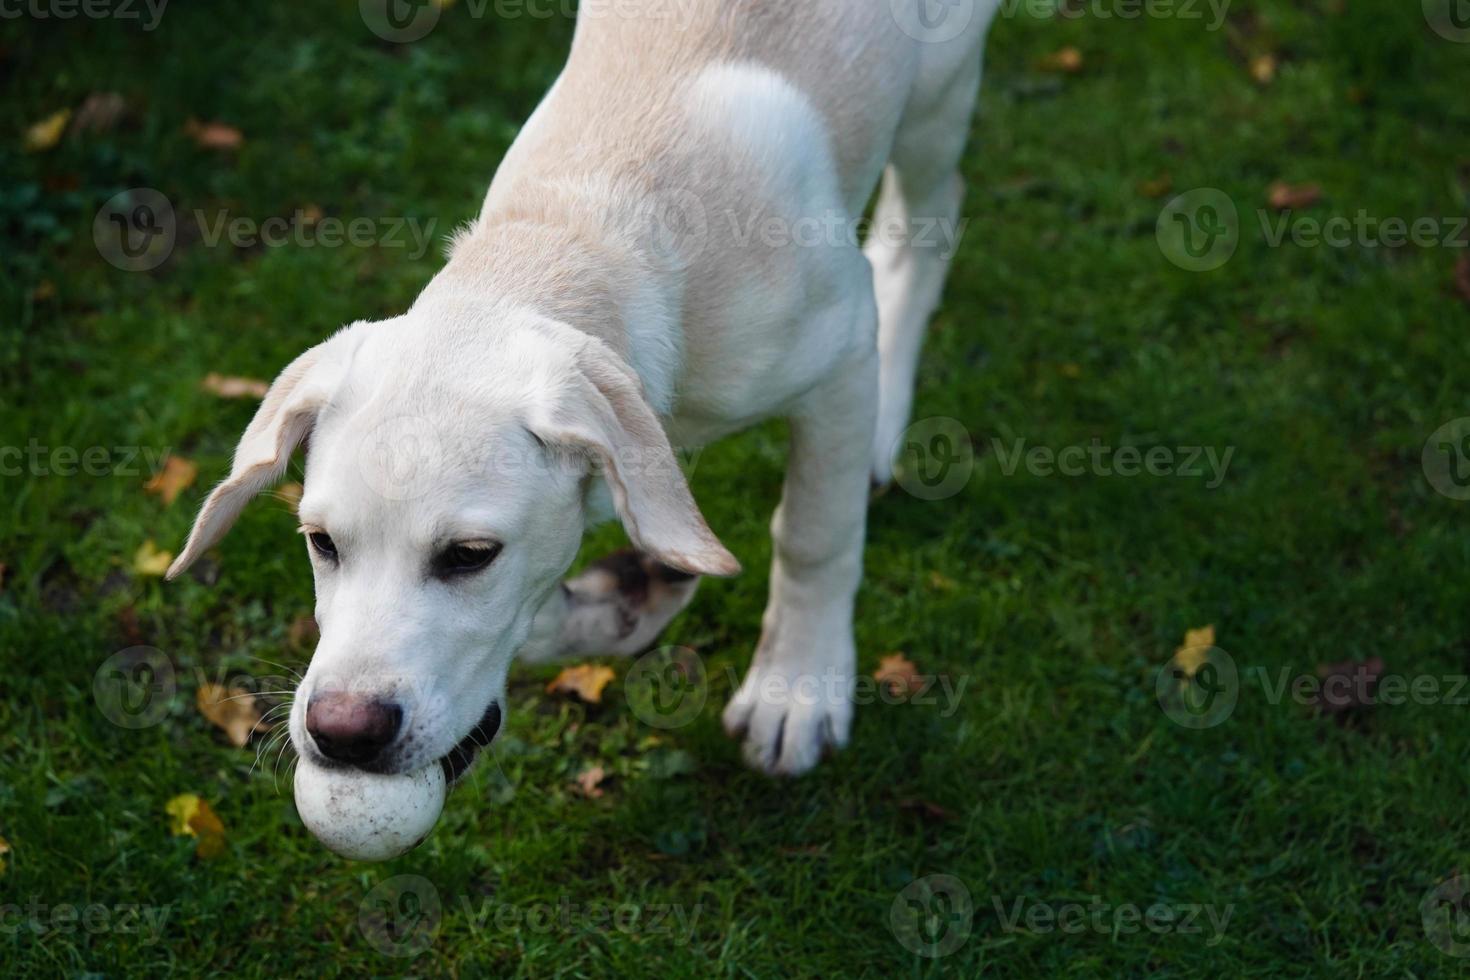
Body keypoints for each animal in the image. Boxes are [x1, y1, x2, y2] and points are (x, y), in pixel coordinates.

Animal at [169, 1, 999, 781]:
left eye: (469, 555)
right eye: (321, 543)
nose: (342, 734)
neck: (574, 233)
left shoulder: (839, 356)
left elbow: (814, 535)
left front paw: (796, 690)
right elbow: (538, 613)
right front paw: (625, 597)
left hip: (937, 89)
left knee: (930, 220)